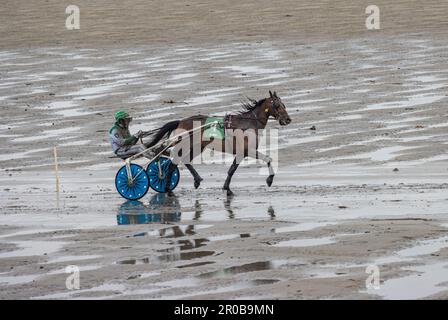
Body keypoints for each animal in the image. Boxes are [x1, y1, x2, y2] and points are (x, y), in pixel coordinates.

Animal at [144, 89, 290, 195]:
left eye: (284, 105)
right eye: (277, 105)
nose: (288, 120)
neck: (246, 124)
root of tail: (180, 121)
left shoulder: (241, 152)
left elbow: (232, 169)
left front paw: (227, 188)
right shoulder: (246, 150)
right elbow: (267, 159)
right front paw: (269, 180)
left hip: (197, 147)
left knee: (184, 161)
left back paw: (195, 180)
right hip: (186, 145)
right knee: (174, 163)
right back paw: (168, 188)